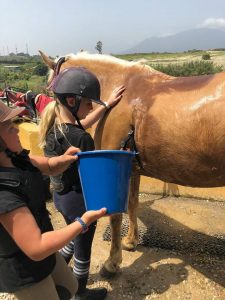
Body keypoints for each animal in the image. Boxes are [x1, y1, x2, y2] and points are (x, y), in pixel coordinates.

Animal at [39, 49, 225, 276]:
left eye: (49, 92)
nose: (50, 124)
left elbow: (116, 216)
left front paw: (112, 262)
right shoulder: (132, 168)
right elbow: (133, 204)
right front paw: (130, 241)